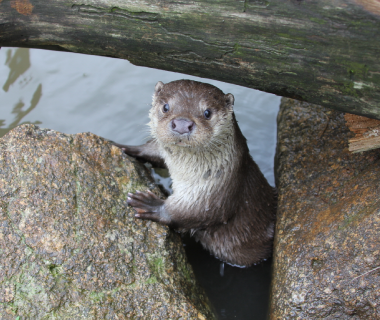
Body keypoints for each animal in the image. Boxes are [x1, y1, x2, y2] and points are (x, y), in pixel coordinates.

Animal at [116, 80, 276, 268]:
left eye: (207, 112)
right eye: (165, 107)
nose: (182, 124)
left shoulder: (217, 189)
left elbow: (196, 212)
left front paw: (150, 204)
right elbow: (152, 150)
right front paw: (123, 147)